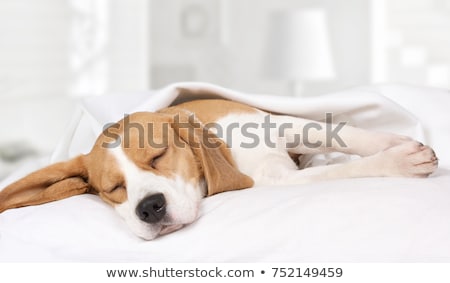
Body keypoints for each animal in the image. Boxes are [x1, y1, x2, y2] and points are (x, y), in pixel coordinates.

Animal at [0, 99, 436, 240]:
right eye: (114, 189)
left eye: (157, 156)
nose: (150, 208)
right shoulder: (277, 180)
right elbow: (337, 172)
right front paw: (396, 159)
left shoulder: (279, 122)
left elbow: (344, 133)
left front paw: (392, 144)